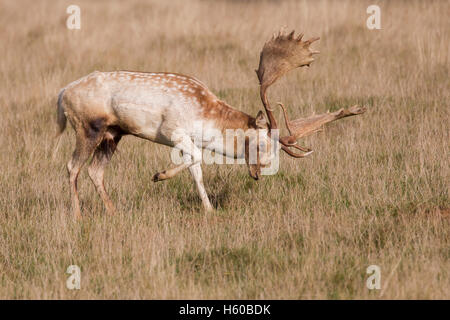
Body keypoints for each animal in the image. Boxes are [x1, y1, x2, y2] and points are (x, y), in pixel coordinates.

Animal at [54, 30, 366, 219]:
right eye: (261, 143)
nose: (259, 172)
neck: (206, 116)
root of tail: (62, 94)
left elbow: (197, 170)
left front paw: (209, 210)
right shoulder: (173, 130)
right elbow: (197, 158)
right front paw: (158, 175)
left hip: (113, 134)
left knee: (95, 171)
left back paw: (114, 212)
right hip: (88, 128)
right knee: (72, 166)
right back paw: (78, 216)